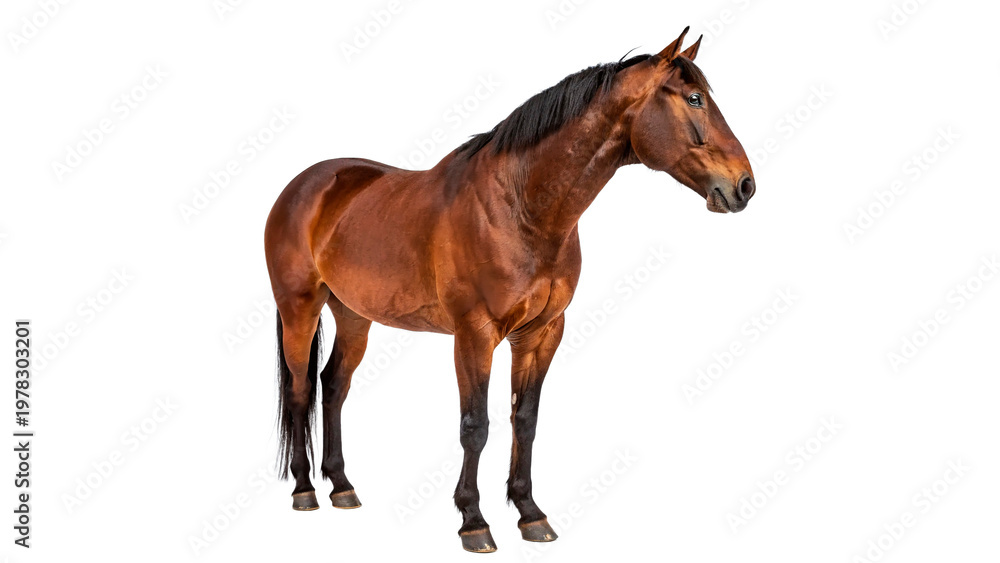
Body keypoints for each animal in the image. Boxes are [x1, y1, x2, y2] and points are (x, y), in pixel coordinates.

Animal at [264, 26, 754, 553]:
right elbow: (475, 426)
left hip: (354, 315)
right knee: (299, 390)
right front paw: (473, 522)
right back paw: (305, 490)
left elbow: (526, 420)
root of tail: (304, 185)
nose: (745, 185)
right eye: (695, 99)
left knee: (333, 385)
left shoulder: (542, 333)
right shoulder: (474, 335)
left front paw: (530, 513)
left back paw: (342, 487)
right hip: (300, 308)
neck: (519, 207)